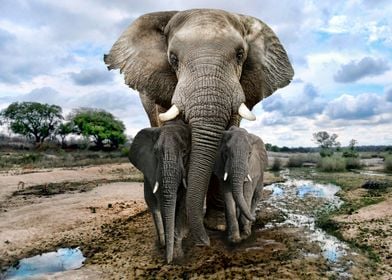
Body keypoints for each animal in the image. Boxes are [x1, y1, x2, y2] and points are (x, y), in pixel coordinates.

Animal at [129, 120, 190, 262]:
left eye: (184, 151)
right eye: (155, 153)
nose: (168, 261)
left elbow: (184, 201)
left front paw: (177, 256)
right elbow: (162, 201)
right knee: (152, 204)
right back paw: (161, 243)